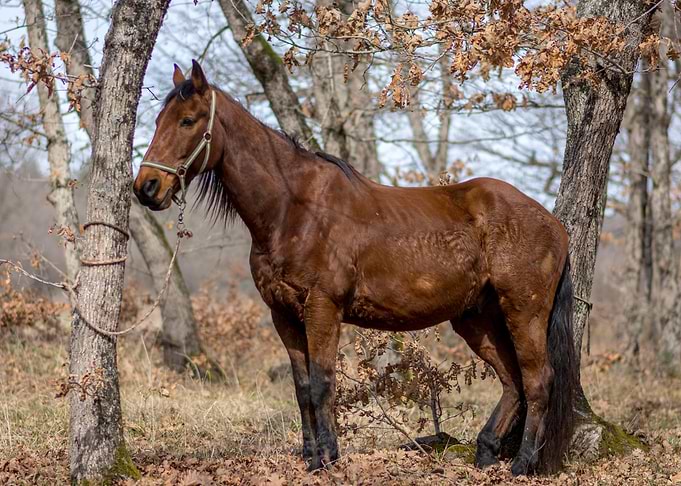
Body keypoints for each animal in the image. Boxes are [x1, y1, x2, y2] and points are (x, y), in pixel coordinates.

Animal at [133, 60, 577, 476]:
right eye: (157, 121)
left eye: (188, 120)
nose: (146, 187)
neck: (294, 210)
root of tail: (554, 223)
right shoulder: (283, 315)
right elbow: (302, 387)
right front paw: (310, 456)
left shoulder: (322, 308)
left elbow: (322, 383)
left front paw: (326, 458)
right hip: (476, 318)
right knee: (512, 380)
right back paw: (486, 453)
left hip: (523, 310)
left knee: (537, 379)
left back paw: (522, 464)